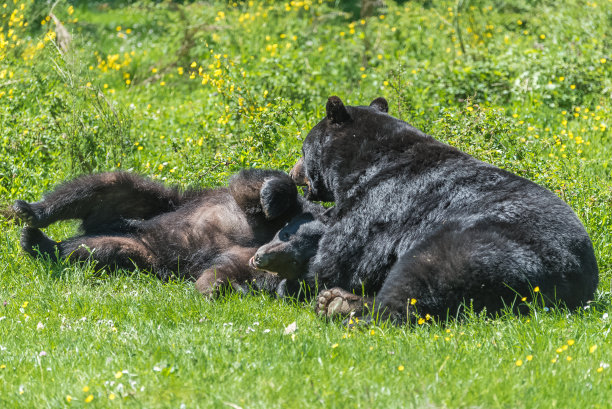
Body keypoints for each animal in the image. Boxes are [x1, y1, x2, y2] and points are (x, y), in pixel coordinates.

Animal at [14, 167, 320, 294]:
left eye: (297, 261)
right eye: (291, 237)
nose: (266, 255)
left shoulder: (251, 264)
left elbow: (226, 270)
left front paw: (218, 288)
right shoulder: (259, 215)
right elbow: (248, 187)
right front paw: (272, 195)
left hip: (143, 250)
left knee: (98, 250)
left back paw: (42, 244)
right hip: (158, 204)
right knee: (106, 185)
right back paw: (32, 213)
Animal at [288, 96, 596, 322]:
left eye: (303, 149)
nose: (293, 171)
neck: (364, 162)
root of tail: (568, 278)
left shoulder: (377, 204)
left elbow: (338, 259)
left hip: (473, 251)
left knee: (415, 279)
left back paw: (348, 310)